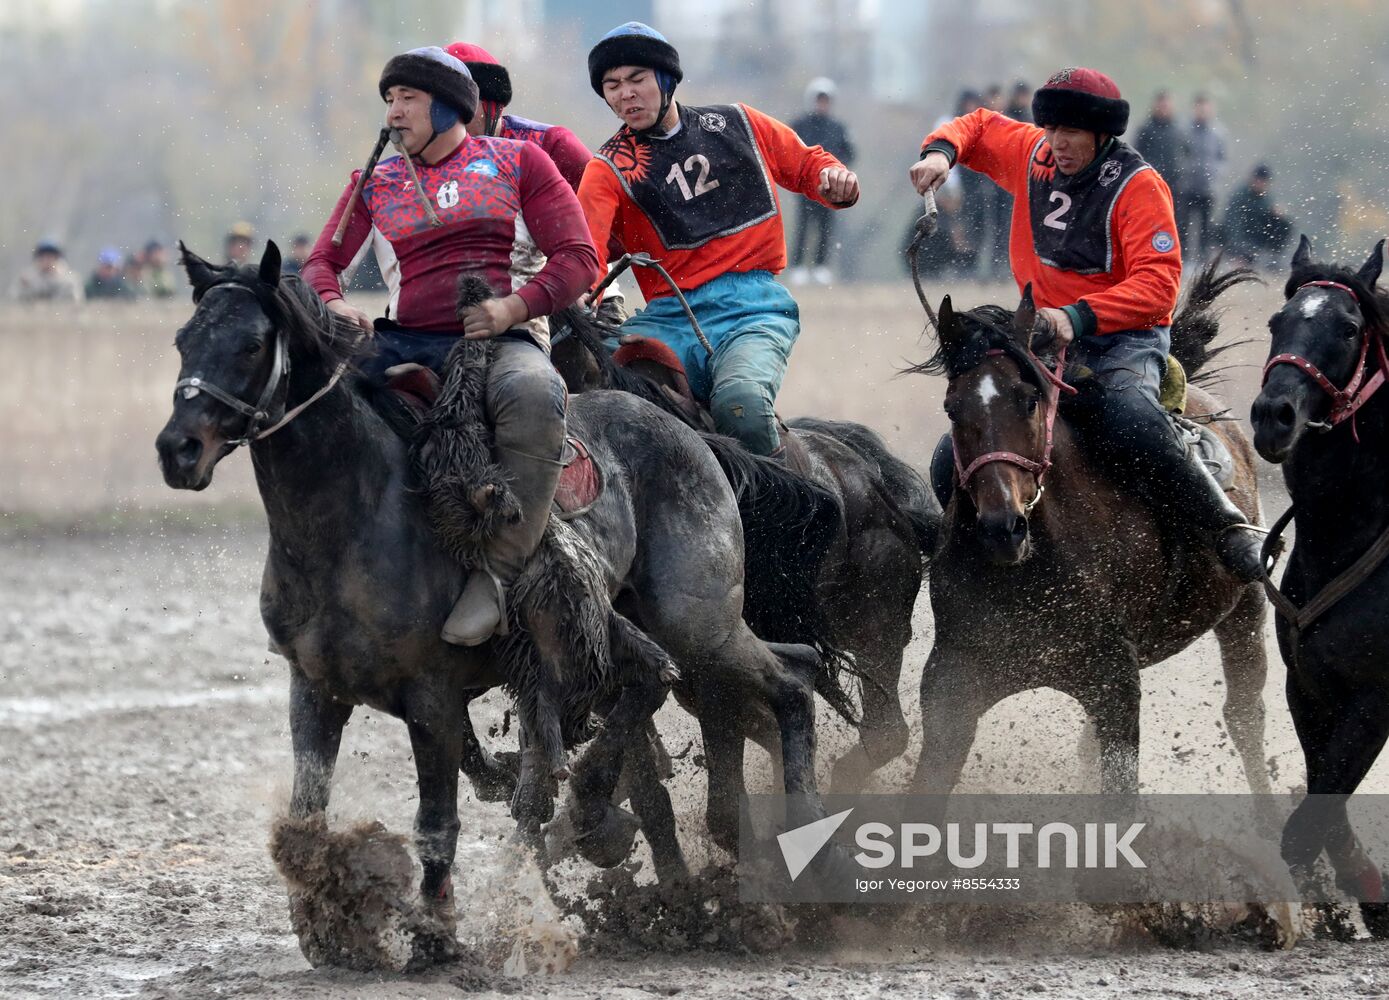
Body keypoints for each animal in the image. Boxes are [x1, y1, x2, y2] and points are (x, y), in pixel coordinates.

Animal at [153, 241, 844, 961]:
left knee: (780, 679)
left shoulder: (430, 693)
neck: (356, 515)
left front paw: (435, 935)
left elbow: (438, 821)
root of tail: (693, 437)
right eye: (184, 340)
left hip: (697, 622)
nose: (178, 449)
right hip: (626, 632)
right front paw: (328, 931)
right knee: (683, 687)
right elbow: (307, 814)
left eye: (252, 344)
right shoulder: (315, 687)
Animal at [905, 263, 1272, 794]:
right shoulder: (952, 686)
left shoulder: (1114, 684)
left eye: (1029, 400)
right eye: (954, 408)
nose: (1002, 528)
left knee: (1246, 717)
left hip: (1245, 610)